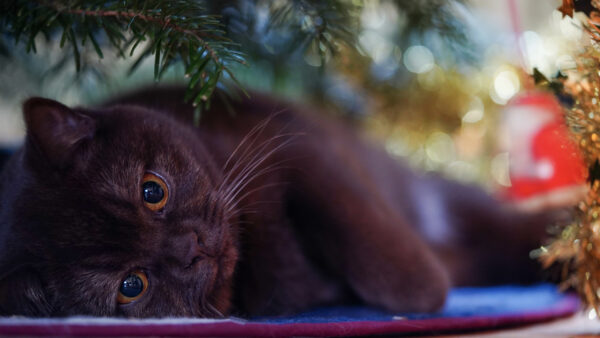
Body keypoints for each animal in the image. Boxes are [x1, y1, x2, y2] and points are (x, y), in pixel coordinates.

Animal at [0, 86, 552, 318]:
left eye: (151, 191)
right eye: (131, 286)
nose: (190, 248)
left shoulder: (299, 146)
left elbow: (378, 254)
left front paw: (423, 288)